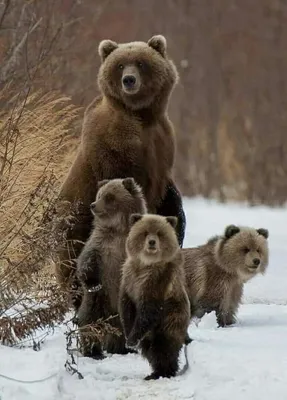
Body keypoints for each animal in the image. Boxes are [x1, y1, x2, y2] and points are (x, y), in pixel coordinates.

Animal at [55, 34, 187, 310]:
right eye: (120, 65)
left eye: (141, 62)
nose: (129, 80)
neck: (141, 115)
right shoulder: (115, 146)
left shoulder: (162, 144)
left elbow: (169, 197)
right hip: (74, 228)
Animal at [75, 177, 147, 358]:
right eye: (99, 194)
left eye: (109, 196)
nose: (93, 205)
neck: (118, 230)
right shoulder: (100, 246)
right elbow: (86, 262)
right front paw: (93, 282)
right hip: (97, 301)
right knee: (90, 323)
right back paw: (94, 351)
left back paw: (124, 348)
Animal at [119, 214, 191, 380]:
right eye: (145, 232)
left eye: (159, 233)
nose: (152, 242)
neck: (146, 264)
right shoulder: (129, 279)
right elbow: (126, 307)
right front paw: (128, 336)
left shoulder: (157, 282)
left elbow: (149, 310)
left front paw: (131, 340)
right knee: (149, 350)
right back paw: (154, 372)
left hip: (170, 319)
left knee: (164, 347)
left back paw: (163, 372)